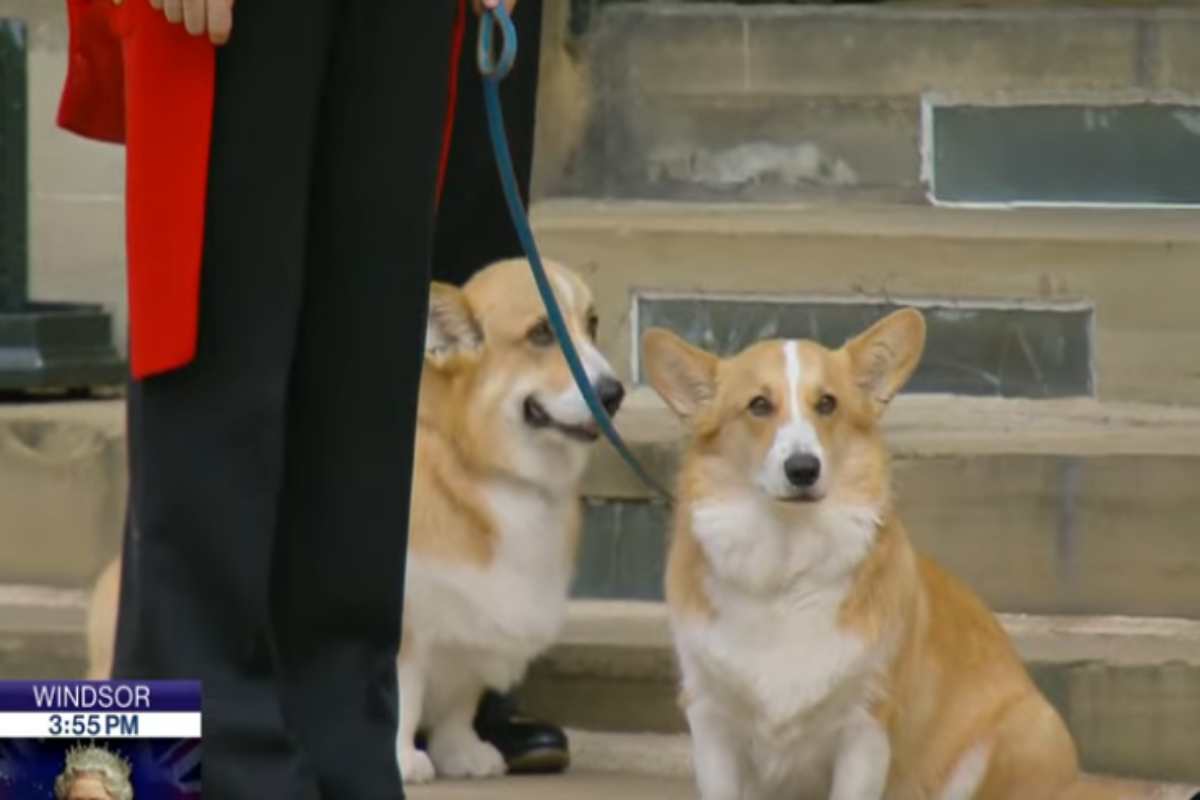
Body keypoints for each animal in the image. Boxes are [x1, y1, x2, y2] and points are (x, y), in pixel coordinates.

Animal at [400, 261, 628, 782]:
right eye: (541, 333)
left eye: (592, 323)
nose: (614, 394)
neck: (477, 462)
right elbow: (404, 692)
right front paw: (401, 758)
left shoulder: (476, 613)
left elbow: (460, 701)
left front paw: (462, 753)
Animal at [648, 311, 1104, 800]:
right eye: (758, 405)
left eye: (827, 404)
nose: (804, 468)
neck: (787, 563)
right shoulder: (711, 721)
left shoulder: (864, 728)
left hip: (1017, 733)